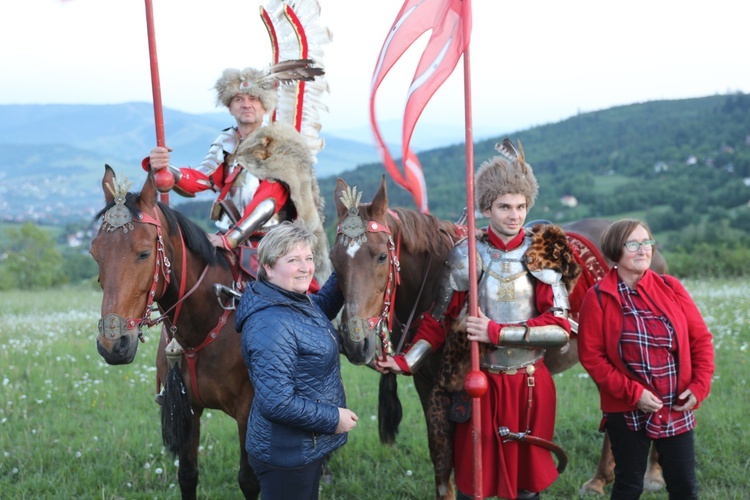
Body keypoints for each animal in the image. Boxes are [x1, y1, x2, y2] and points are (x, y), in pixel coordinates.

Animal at [91, 165, 258, 500]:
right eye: (94, 253)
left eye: (144, 254)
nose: (113, 346)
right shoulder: (187, 410)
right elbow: (188, 475)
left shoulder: (249, 412)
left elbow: (249, 480)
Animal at [332, 178, 668, 498]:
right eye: (335, 261)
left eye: (380, 257)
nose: (354, 342)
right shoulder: (427, 385)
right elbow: (441, 462)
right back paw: (602, 478)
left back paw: (649, 474)